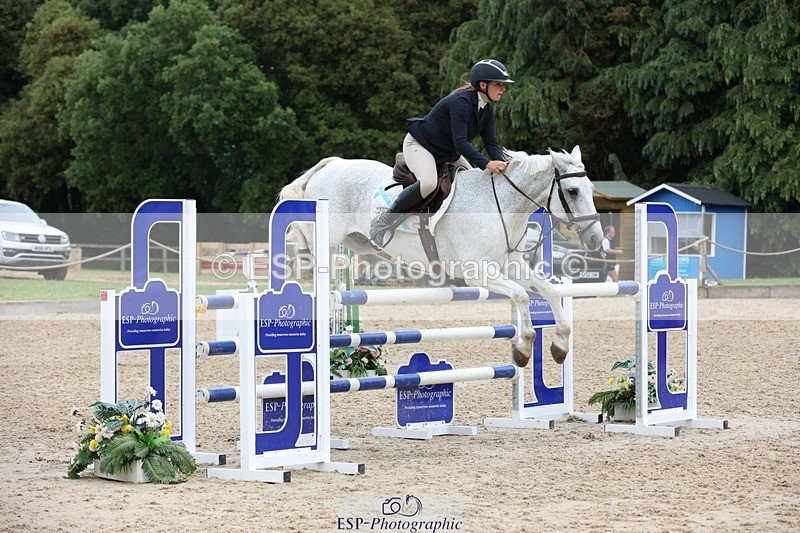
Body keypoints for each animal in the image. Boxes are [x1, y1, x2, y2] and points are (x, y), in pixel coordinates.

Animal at [279, 146, 602, 367]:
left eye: (590, 188)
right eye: (573, 191)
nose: (596, 239)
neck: (503, 205)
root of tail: (332, 164)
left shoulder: (509, 265)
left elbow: (548, 290)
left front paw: (559, 346)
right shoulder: (478, 272)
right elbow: (522, 295)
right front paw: (523, 350)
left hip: (358, 243)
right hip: (328, 238)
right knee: (315, 264)